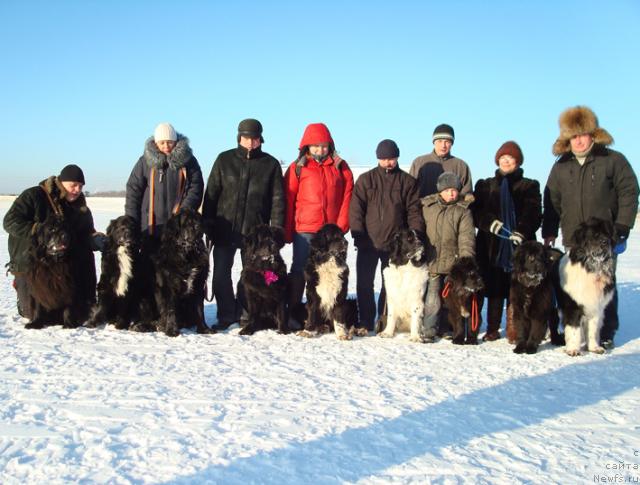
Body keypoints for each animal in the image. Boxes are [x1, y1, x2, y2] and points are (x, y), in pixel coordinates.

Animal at [152, 208, 215, 336]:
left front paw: (204, 329)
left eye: (197, 219)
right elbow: (171, 309)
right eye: (186, 221)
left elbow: (200, 309)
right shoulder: (169, 287)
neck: (188, 253)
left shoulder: (199, 285)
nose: (198, 226)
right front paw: (171, 330)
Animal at [556, 216, 616, 356]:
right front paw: (573, 349)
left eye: (607, 234)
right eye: (595, 235)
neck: (590, 268)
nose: (606, 242)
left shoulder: (595, 305)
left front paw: (594, 348)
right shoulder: (572, 306)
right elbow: (574, 329)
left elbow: (592, 329)